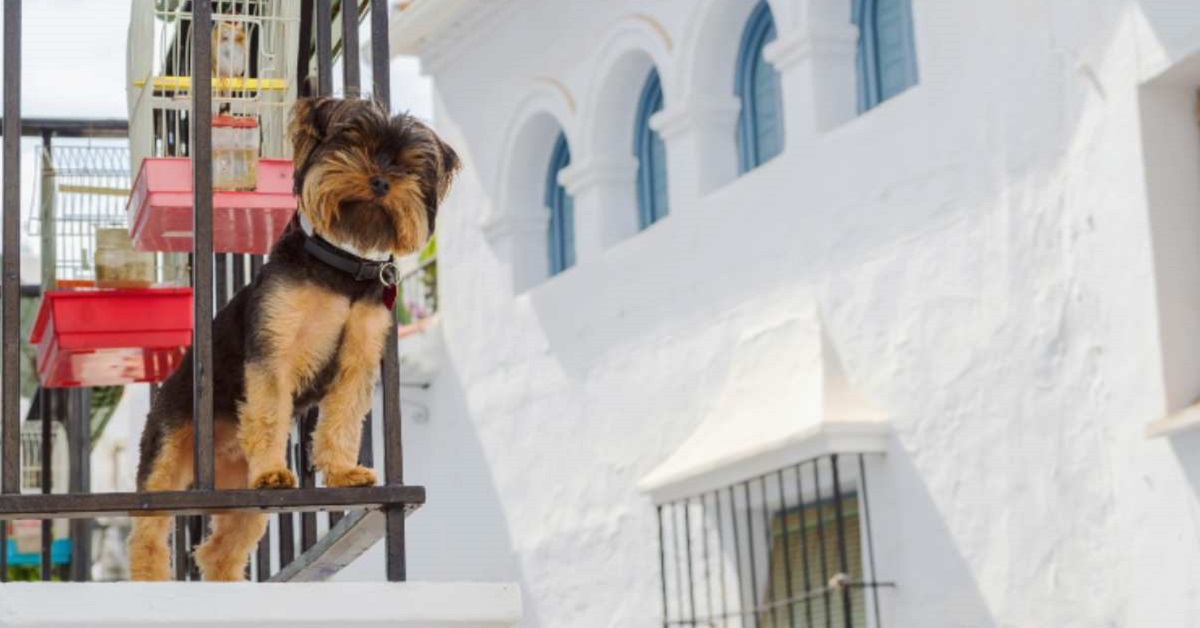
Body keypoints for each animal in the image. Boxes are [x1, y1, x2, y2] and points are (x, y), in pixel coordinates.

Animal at [130, 98, 458, 585]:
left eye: (408, 165)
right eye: (353, 143)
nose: (382, 180)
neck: (342, 268)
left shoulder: (357, 360)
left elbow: (343, 420)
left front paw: (342, 471)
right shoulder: (274, 348)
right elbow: (268, 414)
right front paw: (272, 470)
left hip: (242, 496)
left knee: (219, 550)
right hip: (170, 446)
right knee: (149, 528)